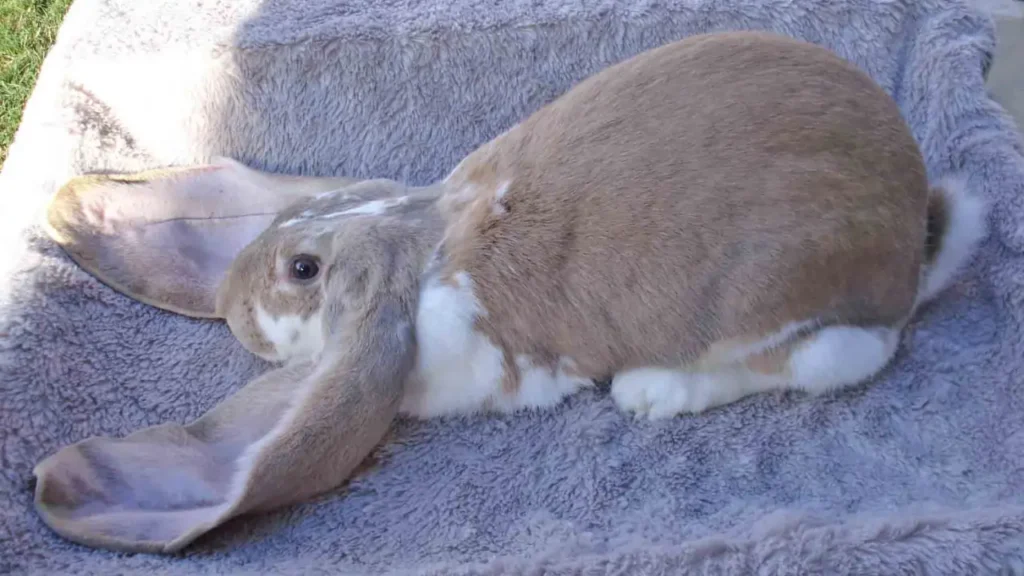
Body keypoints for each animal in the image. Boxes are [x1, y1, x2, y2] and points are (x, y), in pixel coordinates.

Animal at [36, 30, 987, 553]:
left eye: (302, 270)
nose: (234, 303)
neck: (418, 244)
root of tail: (910, 234)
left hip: (790, 312)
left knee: (839, 361)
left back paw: (655, 392)